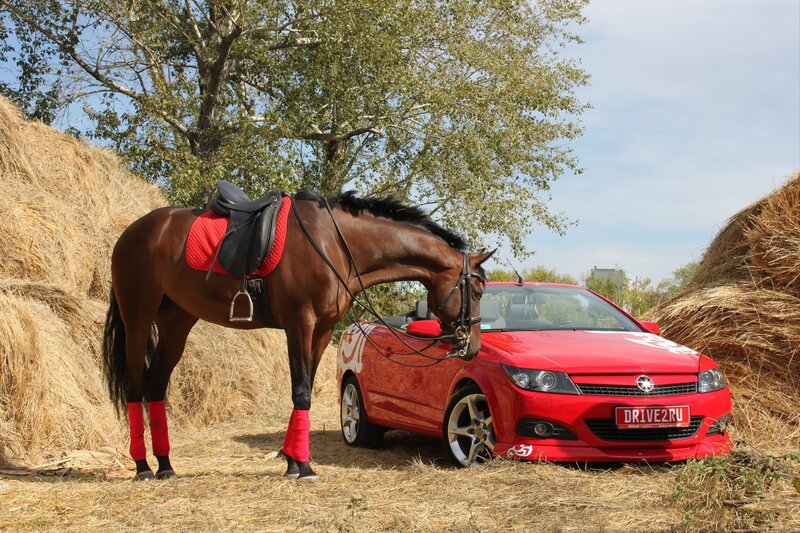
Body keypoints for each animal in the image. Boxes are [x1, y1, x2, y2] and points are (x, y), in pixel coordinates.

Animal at [102, 188, 494, 481]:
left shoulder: (321, 330)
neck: (336, 243)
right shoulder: (300, 324)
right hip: (138, 319)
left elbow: (302, 393)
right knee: (135, 386)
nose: (473, 348)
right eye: (477, 291)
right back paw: (143, 467)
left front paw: (292, 461)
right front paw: (303, 466)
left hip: (176, 323)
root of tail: (130, 233)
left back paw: (166, 466)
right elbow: (301, 391)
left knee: (155, 387)